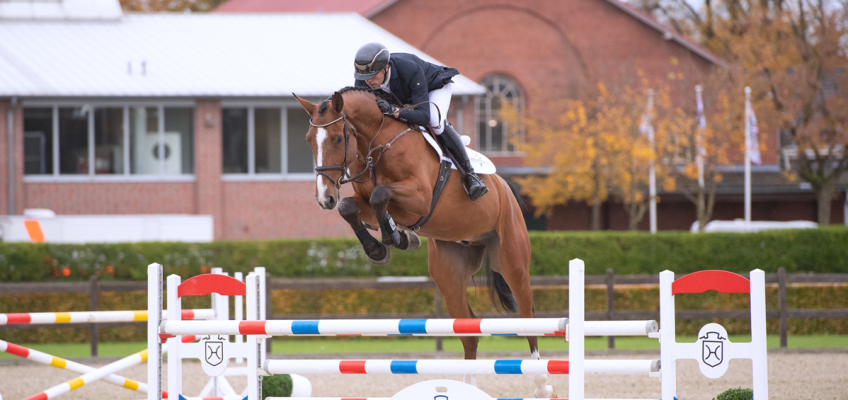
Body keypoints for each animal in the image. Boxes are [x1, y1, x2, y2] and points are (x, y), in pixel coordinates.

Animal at [296, 86, 556, 396]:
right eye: (309, 140)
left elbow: (381, 194)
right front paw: (382, 246)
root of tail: (506, 188)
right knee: (469, 333)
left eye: (337, 138)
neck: (375, 142)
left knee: (528, 318)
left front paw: (394, 237)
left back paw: (542, 386)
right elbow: (352, 206)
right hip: (450, 275)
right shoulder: (367, 204)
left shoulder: (418, 196)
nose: (324, 198)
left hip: (512, 261)